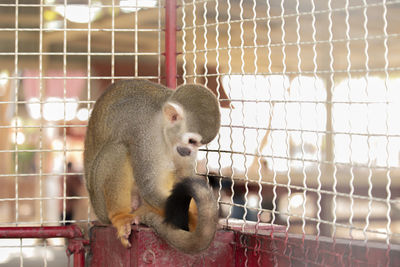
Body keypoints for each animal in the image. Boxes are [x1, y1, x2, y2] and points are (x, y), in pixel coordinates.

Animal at [84, 79, 220, 253]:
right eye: (191, 141)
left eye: (199, 144)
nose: (190, 151)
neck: (162, 126)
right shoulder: (144, 134)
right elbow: (150, 188)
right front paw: (194, 219)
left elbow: (183, 178)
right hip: (100, 202)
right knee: (118, 148)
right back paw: (120, 216)